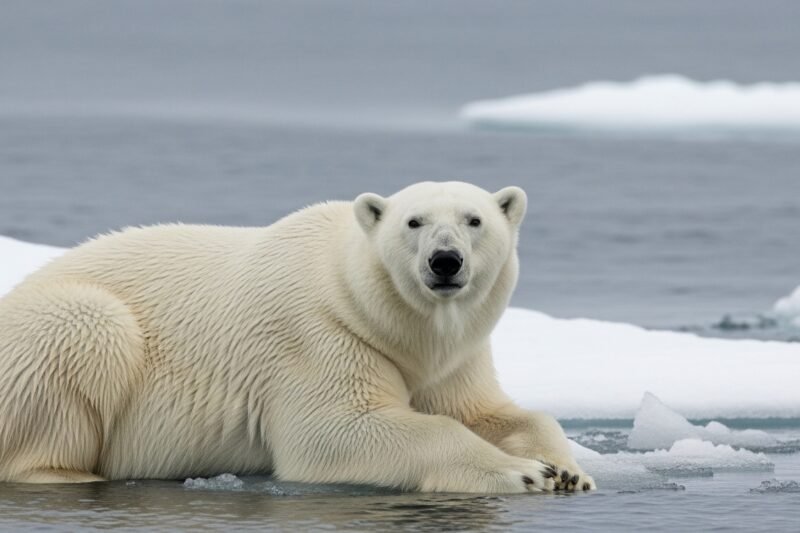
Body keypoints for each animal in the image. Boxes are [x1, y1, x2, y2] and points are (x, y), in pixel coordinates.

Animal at [0, 181, 594, 492]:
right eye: (414, 222)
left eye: (474, 220)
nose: (445, 262)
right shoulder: (318, 335)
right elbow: (335, 431)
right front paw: (526, 473)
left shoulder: (453, 355)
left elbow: (487, 410)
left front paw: (569, 471)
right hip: (60, 330)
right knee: (88, 330)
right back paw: (69, 474)